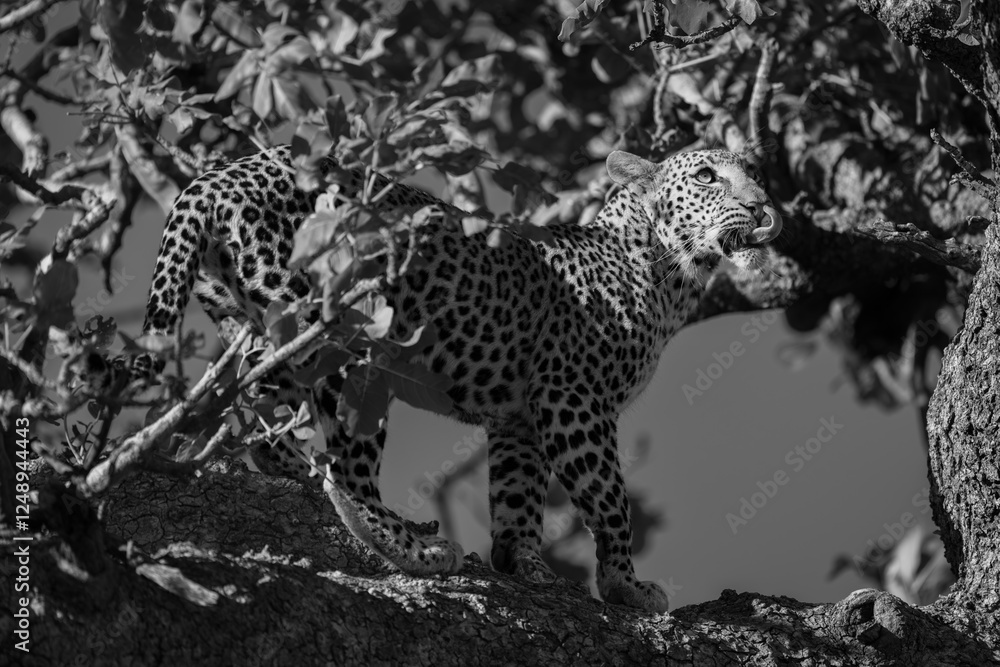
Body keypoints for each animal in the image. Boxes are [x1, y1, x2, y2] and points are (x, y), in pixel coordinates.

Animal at [129, 144, 780, 612]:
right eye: (707, 176)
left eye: (753, 172)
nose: (761, 207)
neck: (668, 274)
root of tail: (221, 174)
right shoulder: (574, 397)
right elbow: (610, 498)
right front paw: (626, 585)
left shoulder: (520, 418)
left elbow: (518, 498)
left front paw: (527, 567)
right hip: (346, 333)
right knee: (346, 473)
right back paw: (411, 547)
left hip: (253, 323)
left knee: (250, 413)